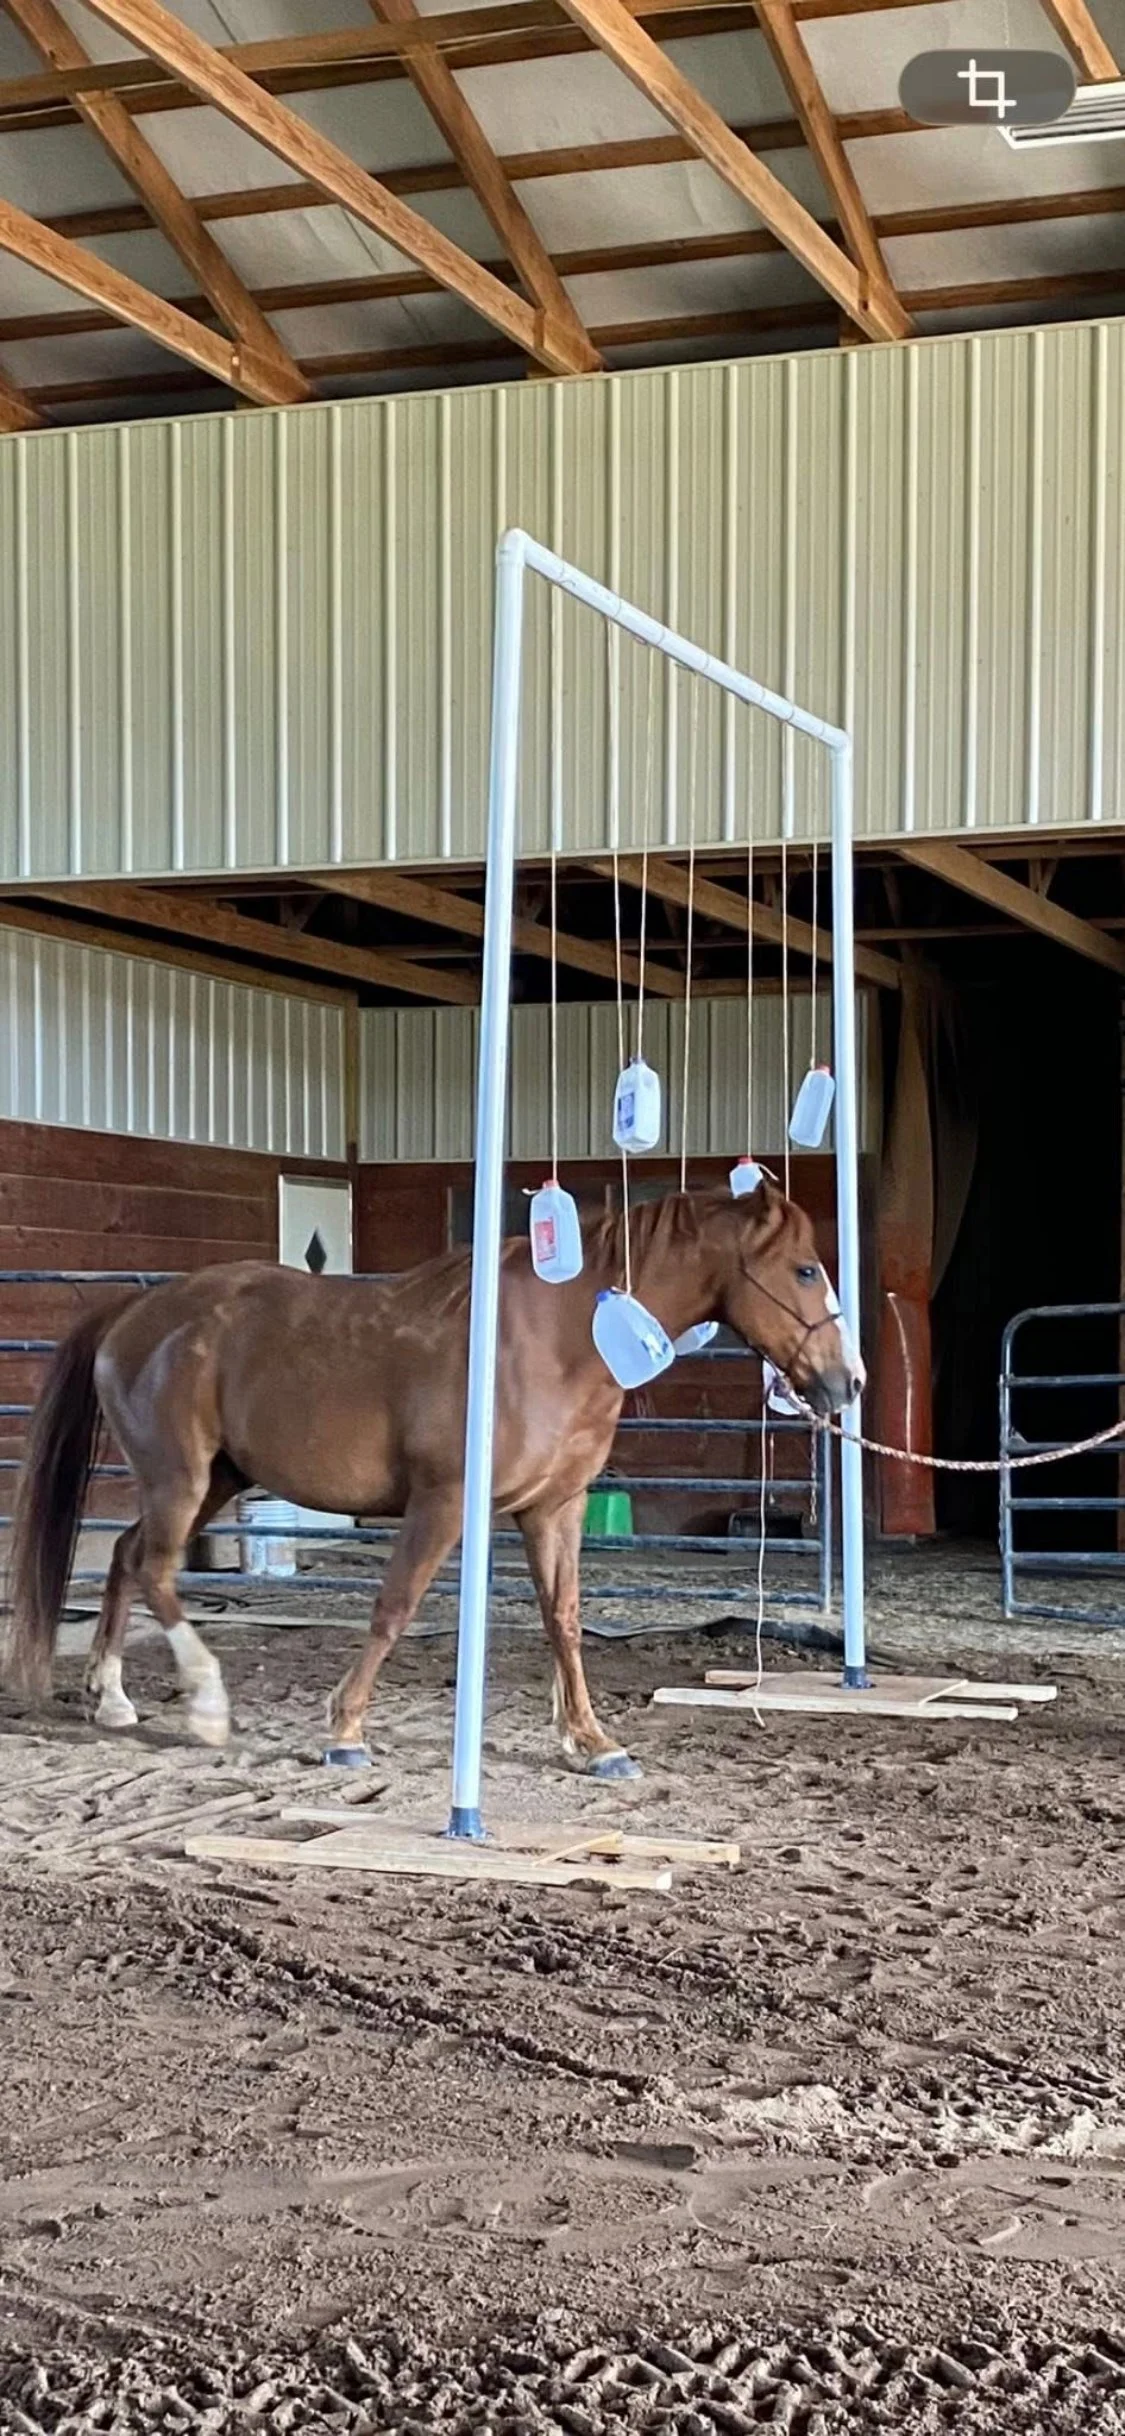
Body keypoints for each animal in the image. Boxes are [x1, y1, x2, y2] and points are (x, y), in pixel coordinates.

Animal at [3, 1183, 863, 1778]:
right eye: (804, 1269)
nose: (846, 1382)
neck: (556, 1341)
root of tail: (135, 1313)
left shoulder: (554, 1510)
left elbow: (564, 1619)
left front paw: (590, 1742)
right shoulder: (443, 1502)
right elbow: (394, 1609)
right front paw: (345, 1730)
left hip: (212, 1482)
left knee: (125, 1559)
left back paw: (113, 1699)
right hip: (180, 1478)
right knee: (153, 1568)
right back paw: (208, 1705)